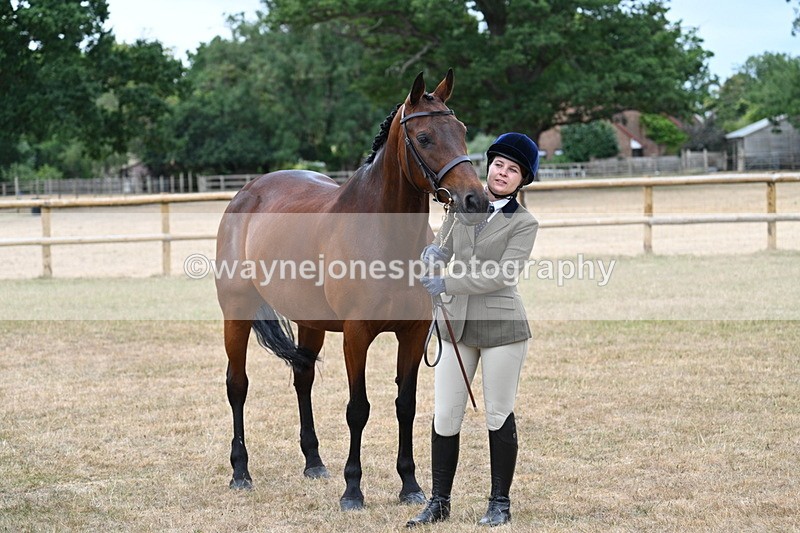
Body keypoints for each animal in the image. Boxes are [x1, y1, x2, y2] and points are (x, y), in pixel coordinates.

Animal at [215, 69, 488, 511]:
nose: (475, 200)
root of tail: (245, 193)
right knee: (237, 385)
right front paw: (353, 490)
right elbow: (358, 408)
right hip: (236, 314)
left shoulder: (413, 335)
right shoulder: (356, 335)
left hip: (310, 321)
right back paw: (241, 472)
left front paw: (410, 486)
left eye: (462, 131)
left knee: (302, 376)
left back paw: (313, 463)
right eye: (425, 137)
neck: (383, 234)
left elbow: (405, 405)